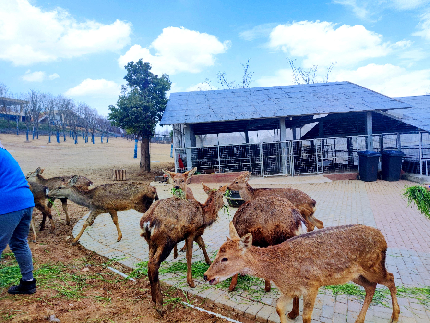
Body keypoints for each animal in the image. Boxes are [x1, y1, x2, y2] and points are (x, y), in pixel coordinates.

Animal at [140, 185, 228, 314]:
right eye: (222, 195)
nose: (225, 204)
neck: (203, 217)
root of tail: (147, 222)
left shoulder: (196, 233)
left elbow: (202, 244)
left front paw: (209, 261)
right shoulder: (191, 232)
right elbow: (189, 255)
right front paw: (191, 282)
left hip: (151, 242)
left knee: (149, 262)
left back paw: (153, 298)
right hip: (166, 241)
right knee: (154, 264)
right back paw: (160, 304)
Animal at [205, 224, 400, 323]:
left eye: (225, 258)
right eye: (218, 253)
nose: (206, 275)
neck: (278, 271)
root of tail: (384, 240)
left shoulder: (312, 285)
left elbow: (306, 317)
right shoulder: (291, 289)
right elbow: (279, 307)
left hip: (373, 267)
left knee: (390, 278)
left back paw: (395, 316)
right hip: (356, 275)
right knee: (371, 287)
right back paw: (360, 320)